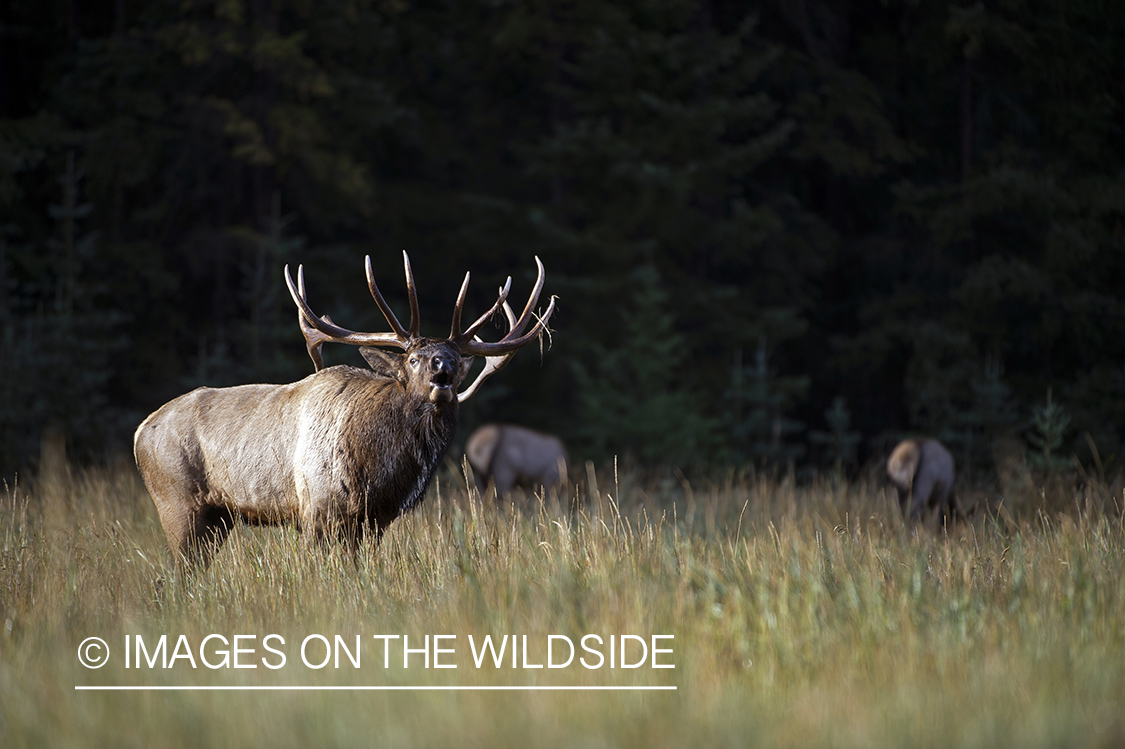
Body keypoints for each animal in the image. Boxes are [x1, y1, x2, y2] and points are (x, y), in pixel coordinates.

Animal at [133, 254, 555, 562]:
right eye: (414, 359)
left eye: (453, 357)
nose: (443, 372)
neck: (377, 468)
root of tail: (140, 433)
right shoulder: (315, 510)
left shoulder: (372, 522)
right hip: (178, 501)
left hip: (218, 517)